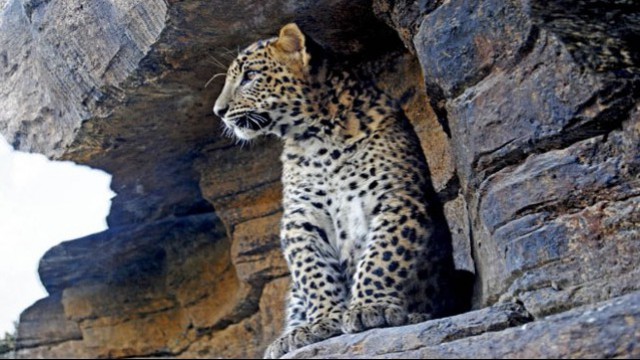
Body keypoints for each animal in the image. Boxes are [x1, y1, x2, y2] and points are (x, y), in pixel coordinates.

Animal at [212, 23, 442, 358]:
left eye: (250, 75)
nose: (218, 111)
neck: (319, 139)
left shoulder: (398, 198)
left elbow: (382, 255)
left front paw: (370, 308)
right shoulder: (301, 218)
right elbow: (313, 272)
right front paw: (321, 322)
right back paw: (286, 338)